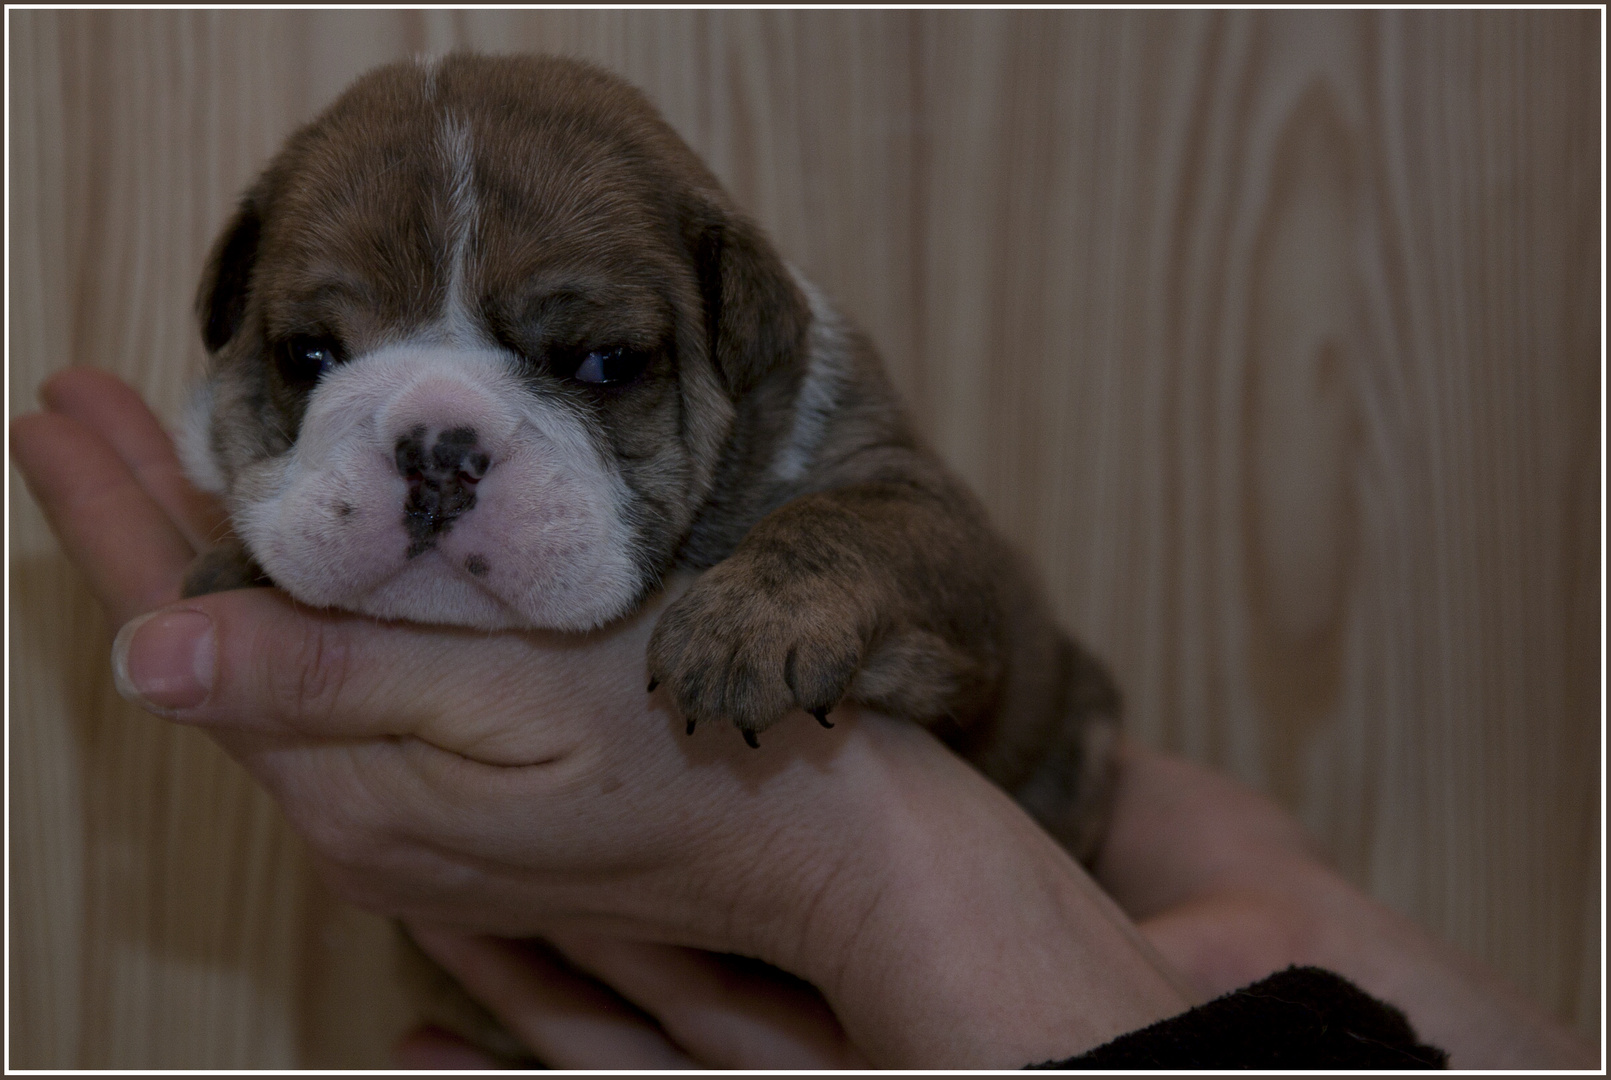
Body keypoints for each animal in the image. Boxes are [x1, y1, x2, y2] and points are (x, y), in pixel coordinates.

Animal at [179, 52, 1121, 864]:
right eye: (308, 354)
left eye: (604, 362)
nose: (440, 451)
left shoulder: (932, 515)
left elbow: (851, 520)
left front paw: (752, 619)